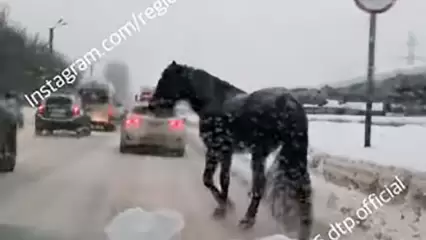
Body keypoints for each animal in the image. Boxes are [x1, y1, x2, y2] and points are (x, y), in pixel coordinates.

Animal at [150, 61, 312, 239]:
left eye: (166, 78)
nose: (152, 105)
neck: (213, 100)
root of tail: (290, 102)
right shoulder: (227, 152)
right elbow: (223, 179)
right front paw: (225, 205)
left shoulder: (215, 148)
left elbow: (210, 178)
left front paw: (224, 207)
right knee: (299, 187)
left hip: (261, 152)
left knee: (262, 185)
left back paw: (247, 220)